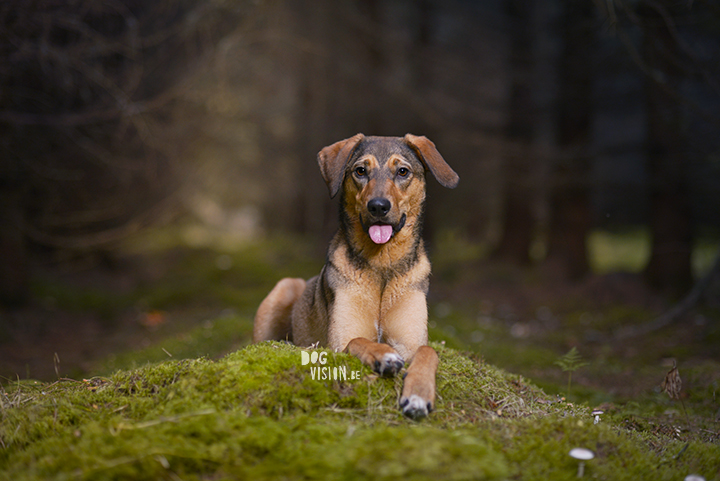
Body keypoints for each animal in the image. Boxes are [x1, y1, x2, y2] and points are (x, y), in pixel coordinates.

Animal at [250, 133, 458, 418]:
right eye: (360, 171)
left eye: (403, 171)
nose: (378, 206)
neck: (381, 265)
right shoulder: (339, 341)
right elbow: (358, 340)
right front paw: (383, 355)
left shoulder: (411, 341)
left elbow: (429, 351)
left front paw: (417, 395)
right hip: (285, 288)